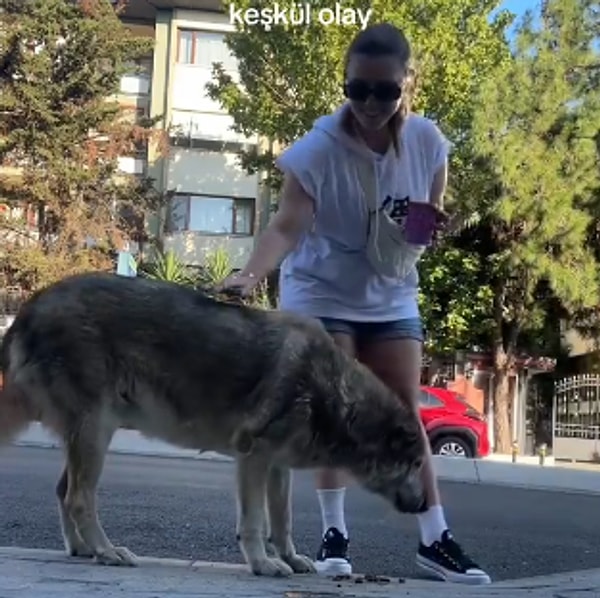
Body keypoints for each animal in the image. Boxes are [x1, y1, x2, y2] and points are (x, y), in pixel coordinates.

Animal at [2, 274, 428, 580]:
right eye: (417, 465)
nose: (425, 505)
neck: (336, 394)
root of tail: (28, 310)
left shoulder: (278, 466)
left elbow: (283, 521)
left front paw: (290, 559)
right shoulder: (253, 457)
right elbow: (255, 522)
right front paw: (263, 564)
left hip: (90, 435)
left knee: (64, 491)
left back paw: (84, 549)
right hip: (96, 431)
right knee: (78, 497)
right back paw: (106, 551)